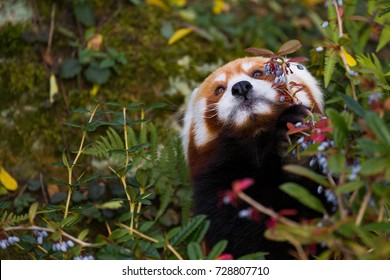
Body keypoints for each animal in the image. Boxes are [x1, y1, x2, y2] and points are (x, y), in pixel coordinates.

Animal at [181, 57, 328, 260]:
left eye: (257, 73)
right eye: (219, 89)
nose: (241, 87)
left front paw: (295, 151)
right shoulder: (216, 185)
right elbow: (240, 237)